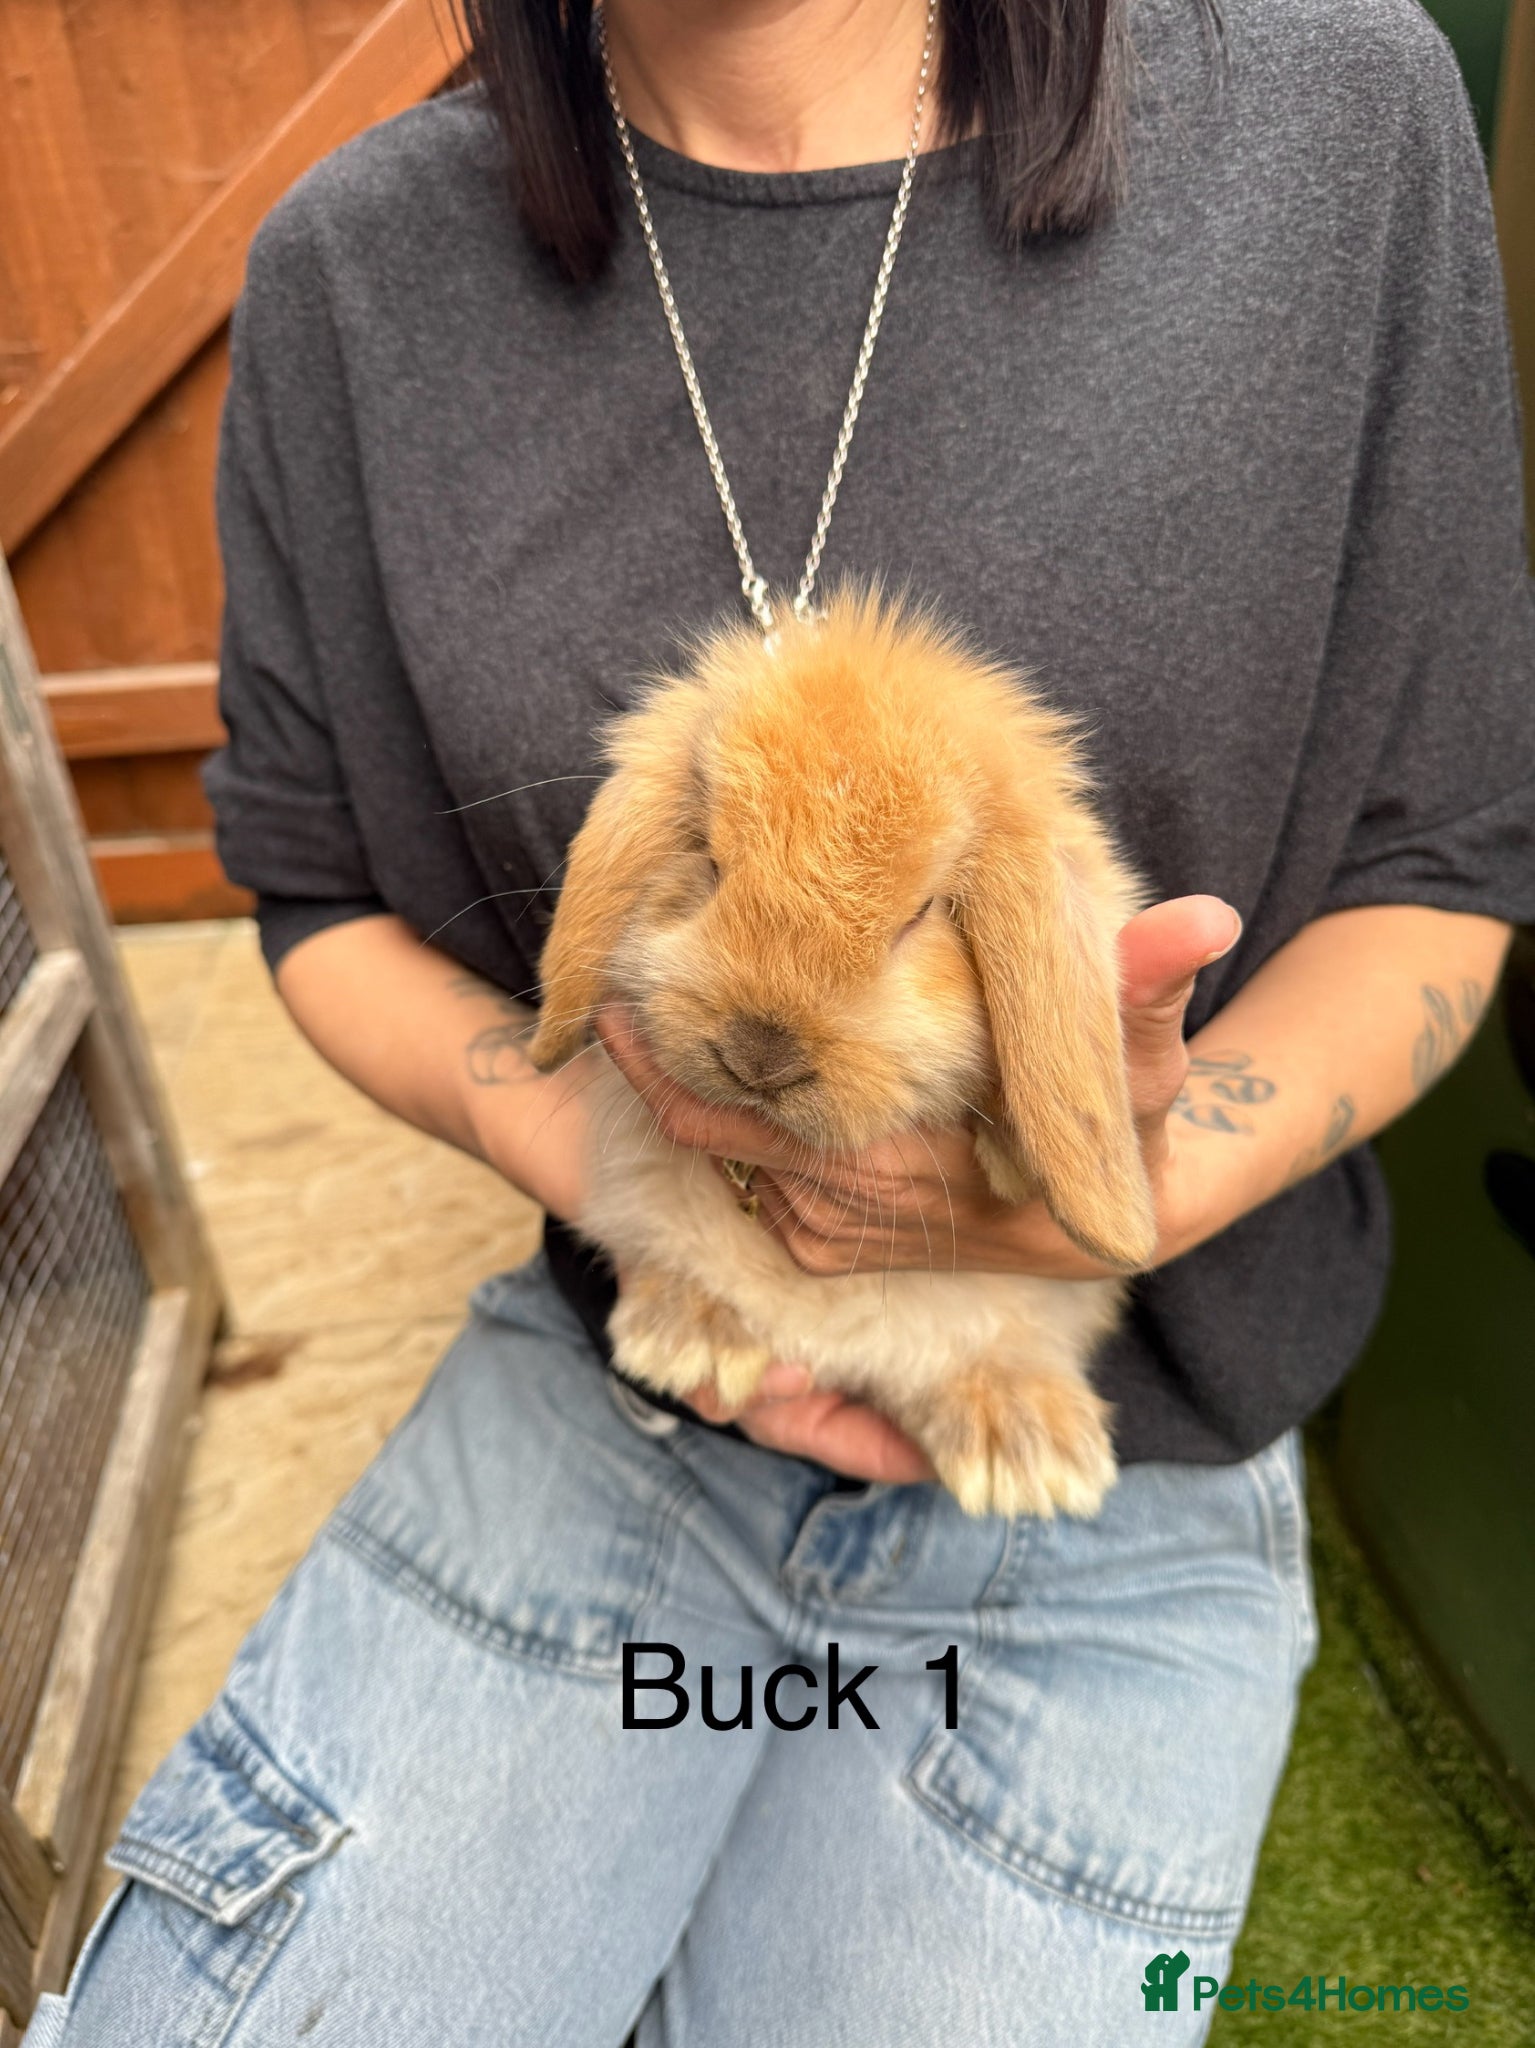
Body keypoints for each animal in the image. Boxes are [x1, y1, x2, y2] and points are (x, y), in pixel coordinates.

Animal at [526, 587, 1157, 1518]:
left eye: (922, 914)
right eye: (709, 860)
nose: (759, 1054)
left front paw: (1010, 1155)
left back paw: (1025, 1450)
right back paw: (691, 1337)